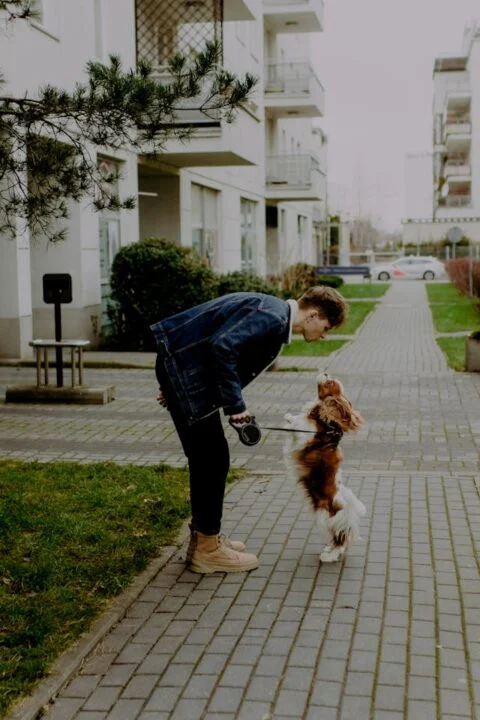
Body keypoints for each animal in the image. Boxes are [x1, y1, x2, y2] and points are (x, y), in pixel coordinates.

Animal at [284, 372, 366, 564]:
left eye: (329, 383)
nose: (325, 372)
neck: (330, 427)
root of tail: (348, 510)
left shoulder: (305, 435)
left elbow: (299, 425)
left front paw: (289, 418)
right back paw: (329, 549)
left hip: (329, 518)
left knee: (341, 540)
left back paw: (329, 555)